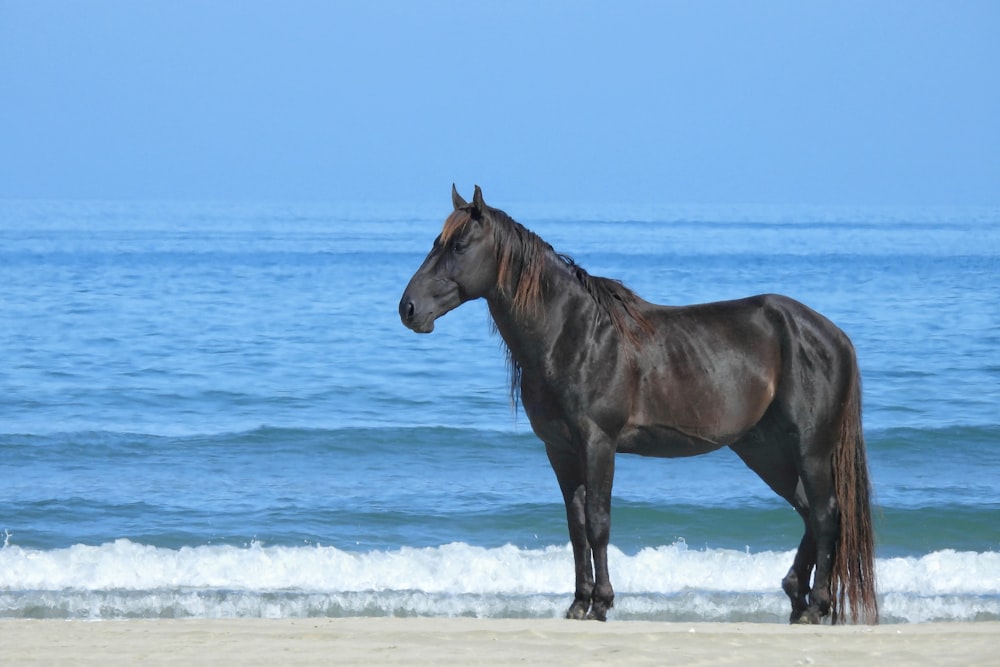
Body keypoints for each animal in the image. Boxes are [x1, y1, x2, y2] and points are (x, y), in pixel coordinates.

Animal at [398, 185, 876, 624]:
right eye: (436, 243)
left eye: (459, 246)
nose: (409, 309)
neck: (574, 335)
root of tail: (833, 335)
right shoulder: (561, 450)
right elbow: (575, 526)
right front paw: (578, 603)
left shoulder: (599, 443)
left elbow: (598, 522)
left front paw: (602, 603)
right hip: (766, 452)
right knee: (809, 513)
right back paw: (796, 599)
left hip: (809, 448)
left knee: (826, 514)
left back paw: (817, 606)